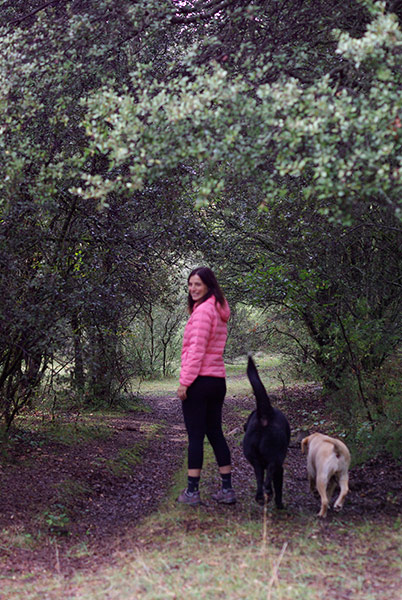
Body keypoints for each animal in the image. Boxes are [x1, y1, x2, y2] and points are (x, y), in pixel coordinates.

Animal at [242, 356, 288, 506]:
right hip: (275, 456)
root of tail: (265, 415)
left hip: (253, 458)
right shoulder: (280, 468)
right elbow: (279, 488)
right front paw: (279, 504)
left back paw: (260, 497)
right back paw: (268, 491)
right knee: (269, 476)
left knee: (259, 478)